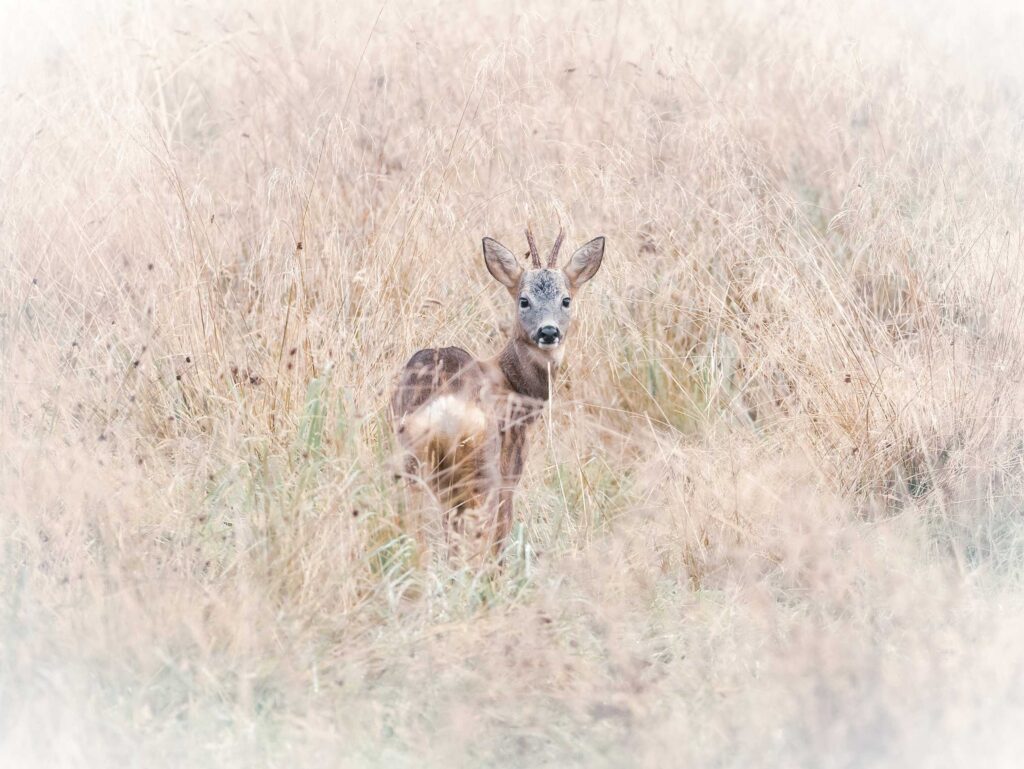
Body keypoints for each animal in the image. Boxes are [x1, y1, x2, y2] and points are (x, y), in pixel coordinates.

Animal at [391, 226, 605, 557]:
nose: (548, 332)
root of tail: (443, 411)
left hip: (412, 460)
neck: (513, 384)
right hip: (481, 469)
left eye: (566, 300)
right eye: (524, 300)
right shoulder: (511, 466)